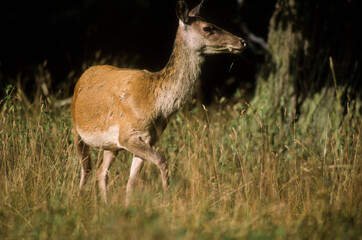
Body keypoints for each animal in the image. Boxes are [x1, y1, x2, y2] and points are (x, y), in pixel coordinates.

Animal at [70, 0, 246, 206]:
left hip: (110, 145)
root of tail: (85, 73)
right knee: (86, 169)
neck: (156, 103)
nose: (241, 41)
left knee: (101, 172)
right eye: (207, 28)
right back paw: (78, 200)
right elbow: (162, 160)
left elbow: (131, 183)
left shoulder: (147, 138)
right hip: (77, 130)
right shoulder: (128, 134)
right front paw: (167, 197)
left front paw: (128, 208)